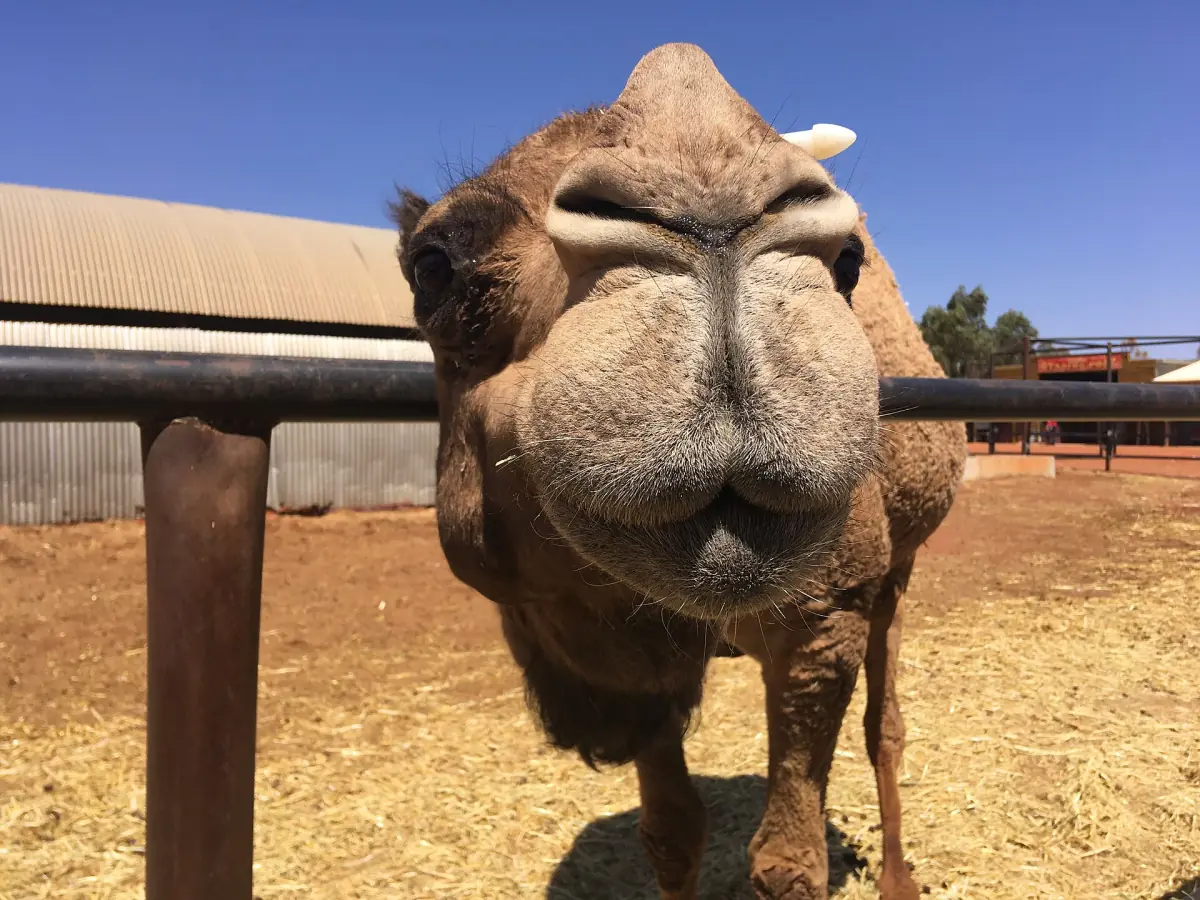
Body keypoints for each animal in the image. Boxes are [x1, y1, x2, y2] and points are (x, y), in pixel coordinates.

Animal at [391, 43, 965, 900]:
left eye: (850, 263)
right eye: (432, 267)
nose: (709, 197)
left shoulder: (828, 614)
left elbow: (789, 863)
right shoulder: (633, 663)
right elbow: (670, 834)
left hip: (897, 570)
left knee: (885, 724)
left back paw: (898, 876)